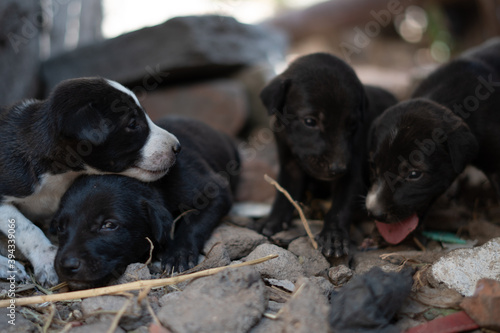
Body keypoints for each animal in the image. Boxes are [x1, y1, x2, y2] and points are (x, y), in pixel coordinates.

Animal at [51, 118, 239, 290]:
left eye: (109, 225)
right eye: (60, 227)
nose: (67, 265)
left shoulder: (214, 191)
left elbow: (193, 225)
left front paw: (179, 253)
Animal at [260, 52, 396, 256]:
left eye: (352, 125)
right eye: (310, 122)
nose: (338, 168)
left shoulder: (352, 172)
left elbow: (340, 206)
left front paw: (334, 236)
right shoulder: (289, 164)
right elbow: (284, 193)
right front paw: (274, 221)